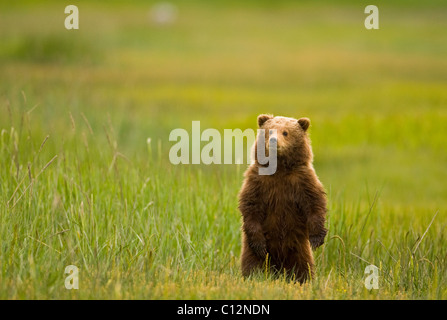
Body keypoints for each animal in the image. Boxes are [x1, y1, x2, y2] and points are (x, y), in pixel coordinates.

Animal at [238, 114, 328, 282]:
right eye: (270, 131)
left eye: (285, 132)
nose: (274, 141)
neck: (278, 168)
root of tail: (278, 269)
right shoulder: (258, 181)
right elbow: (250, 205)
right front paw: (259, 244)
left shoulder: (302, 180)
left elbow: (314, 202)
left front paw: (317, 238)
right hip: (251, 250)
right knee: (252, 262)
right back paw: (253, 276)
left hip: (298, 246)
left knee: (303, 265)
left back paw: (303, 279)